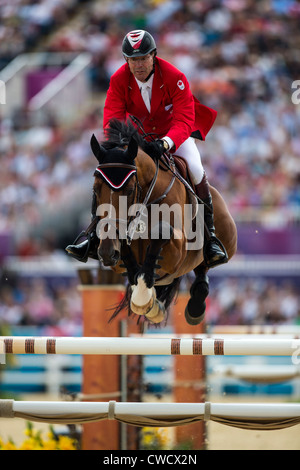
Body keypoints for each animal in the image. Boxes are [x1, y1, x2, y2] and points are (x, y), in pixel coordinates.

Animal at [89, 119, 237, 324]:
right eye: (95, 189)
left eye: (130, 190)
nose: (107, 252)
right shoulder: (116, 261)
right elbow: (129, 260)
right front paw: (143, 295)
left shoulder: (177, 251)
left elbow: (161, 232)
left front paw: (142, 296)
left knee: (202, 273)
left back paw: (195, 308)